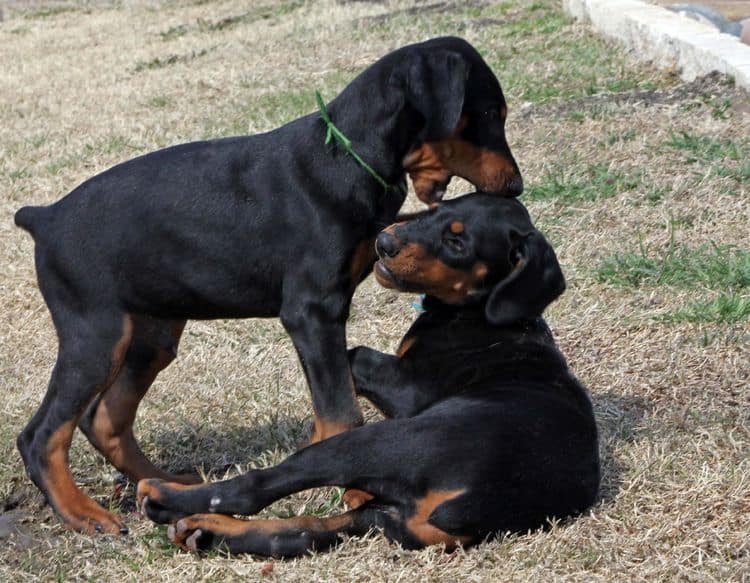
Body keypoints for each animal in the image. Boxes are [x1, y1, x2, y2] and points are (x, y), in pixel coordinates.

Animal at [14, 36, 524, 532]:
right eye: (488, 115)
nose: (516, 186)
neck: (347, 155)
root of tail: (45, 218)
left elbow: (329, 410)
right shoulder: (313, 310)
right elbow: (341, 414)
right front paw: (351, 488)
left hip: (151, 332)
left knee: (105, 417)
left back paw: (163, 483)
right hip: (97, 333)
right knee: (40, 435)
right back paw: (82, 513)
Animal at [138, 195, 604, 556]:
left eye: (456, 241)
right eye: (436, 209)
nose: (384, 242)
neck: (482, 315)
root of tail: (479, 500)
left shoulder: (409, 389)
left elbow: (352, 355)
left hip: (376, 443)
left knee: (255, 487)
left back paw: (167, 498)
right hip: (381, 517)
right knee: (303, 533)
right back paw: (207, 531)